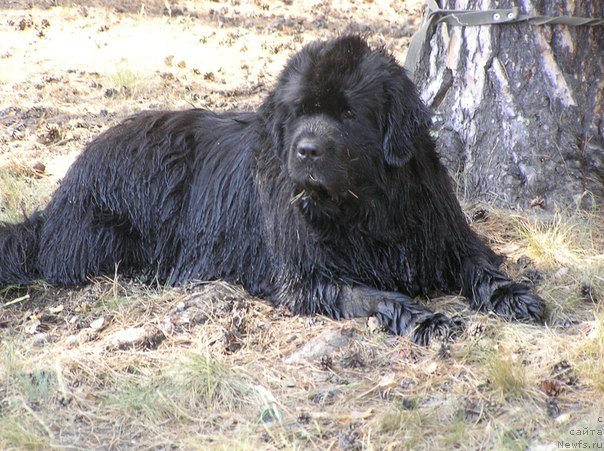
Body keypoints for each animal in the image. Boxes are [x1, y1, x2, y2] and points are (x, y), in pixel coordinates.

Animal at [0, 36, 544, 346]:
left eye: (349, 113)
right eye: (300, 110)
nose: (305, 150)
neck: (364, 209)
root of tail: (57, 201)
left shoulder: (444, 235)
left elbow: (480, 265)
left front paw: (515, 296)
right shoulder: (310, 276)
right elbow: (376, 296)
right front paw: (425, 319)